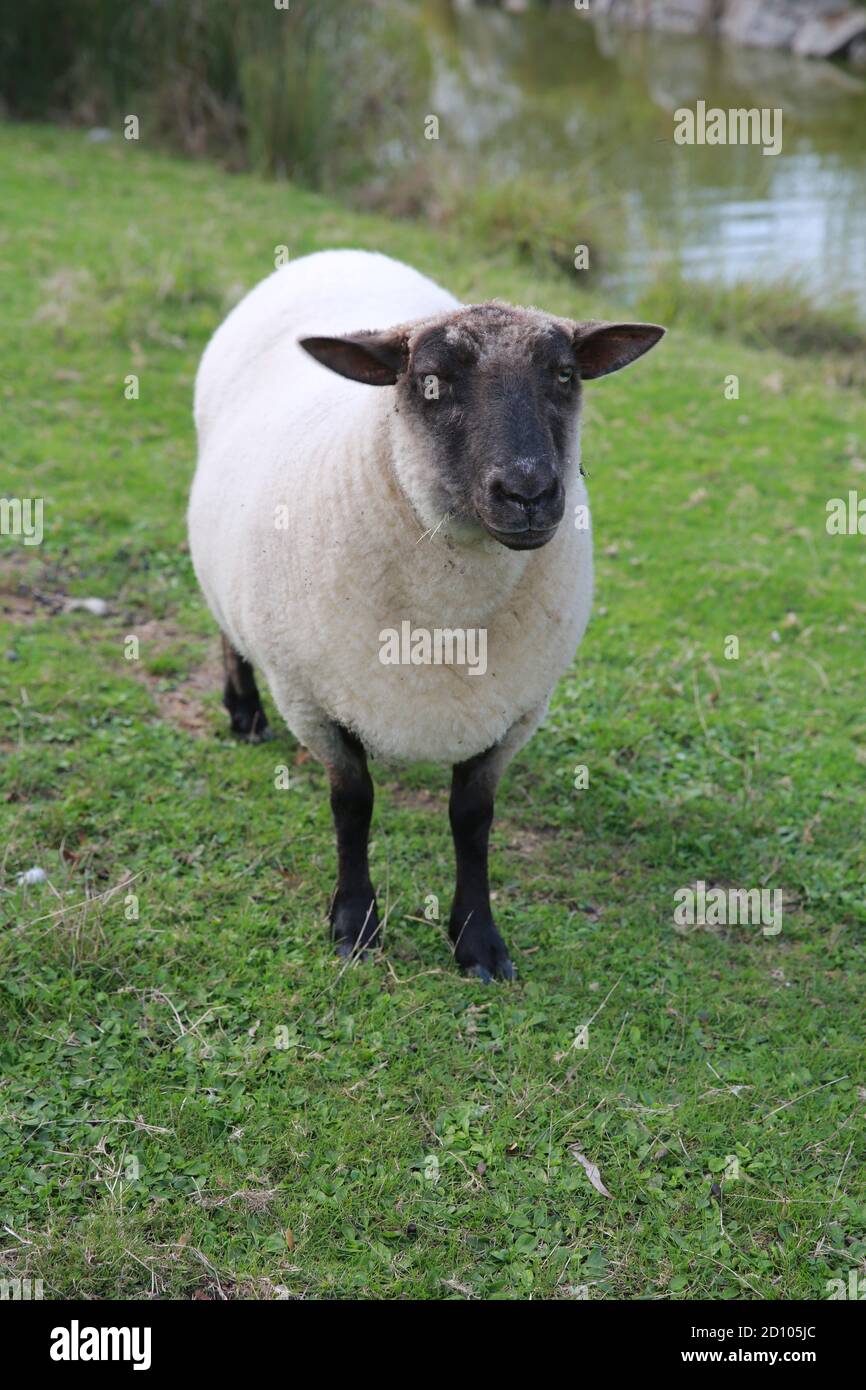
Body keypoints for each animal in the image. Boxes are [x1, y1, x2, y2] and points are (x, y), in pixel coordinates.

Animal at [189, 249, 664, 980]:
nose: (528, 491)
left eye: (564, 375)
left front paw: (478, 940)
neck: (449, 616)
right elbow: (352, 804)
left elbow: (472, 818)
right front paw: (355, 923)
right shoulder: (310, 699)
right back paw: (242, 710)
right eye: (432, 382)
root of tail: (335, 252)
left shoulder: (514, 711)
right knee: (225, 626)